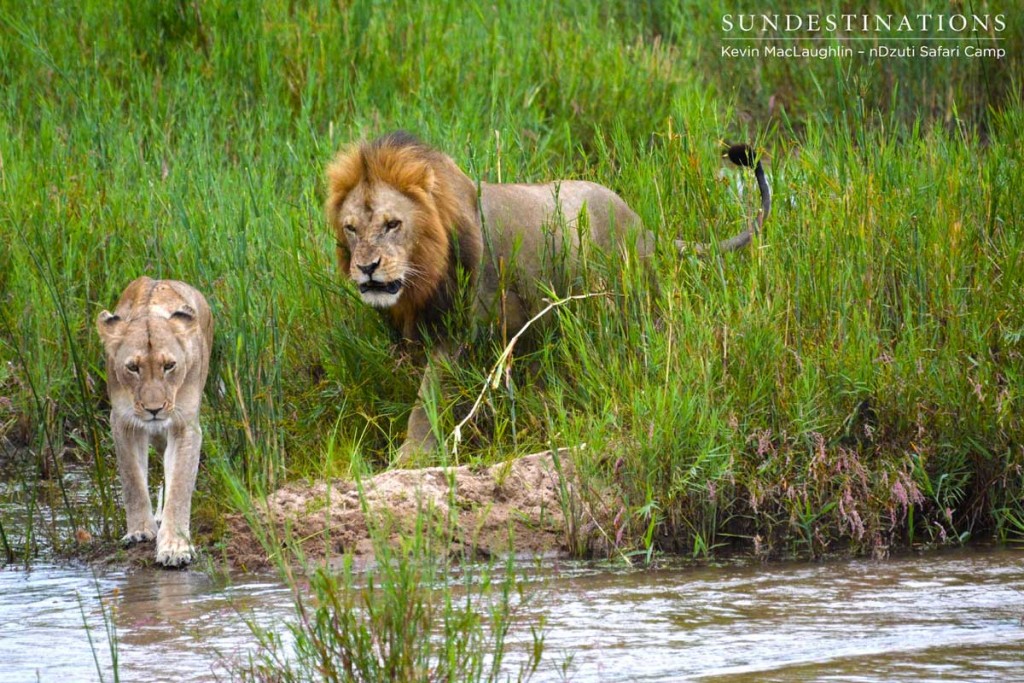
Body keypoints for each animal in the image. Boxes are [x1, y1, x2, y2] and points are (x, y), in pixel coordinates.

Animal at [97, 274, 214, 569]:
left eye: (169, 366)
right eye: (132, 367)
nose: (154, 410)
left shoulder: (185, 425)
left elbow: (180, 485)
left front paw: (175, 547)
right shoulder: (122, 422)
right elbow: (132, 480)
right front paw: (140, 531)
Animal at [325, 132, 770, 464]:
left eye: (392, 224)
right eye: (351, 228)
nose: (367, 267)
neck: (423, 276)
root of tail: (642, 224)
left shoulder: (458, 334)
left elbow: (427, 398)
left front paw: (410, 457)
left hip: (635, 304)